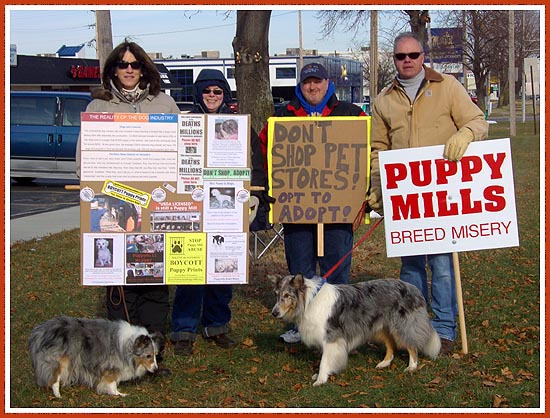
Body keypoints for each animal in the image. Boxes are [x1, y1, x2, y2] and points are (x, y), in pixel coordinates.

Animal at [28, 316, 162, 398]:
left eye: (155, 355)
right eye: (148, 356)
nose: (156, 369)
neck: (128, 344)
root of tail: (40, 330)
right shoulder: (112, 366)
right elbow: (112, 383)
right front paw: (118, 394)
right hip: (60, 361)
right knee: (54, 379)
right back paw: (58, 395)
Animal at [270, 274, 442, 386]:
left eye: (287, 295)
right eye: (276, 294)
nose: (274, 313)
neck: (309, 300)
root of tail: (414, 288)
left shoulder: (331, 338)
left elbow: (324, 361)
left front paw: (321, 379)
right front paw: (319, 375)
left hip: (402, 325)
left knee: (412, 345)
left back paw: (412, 366)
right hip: (382, 326)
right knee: (391, 345)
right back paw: (384, 363)